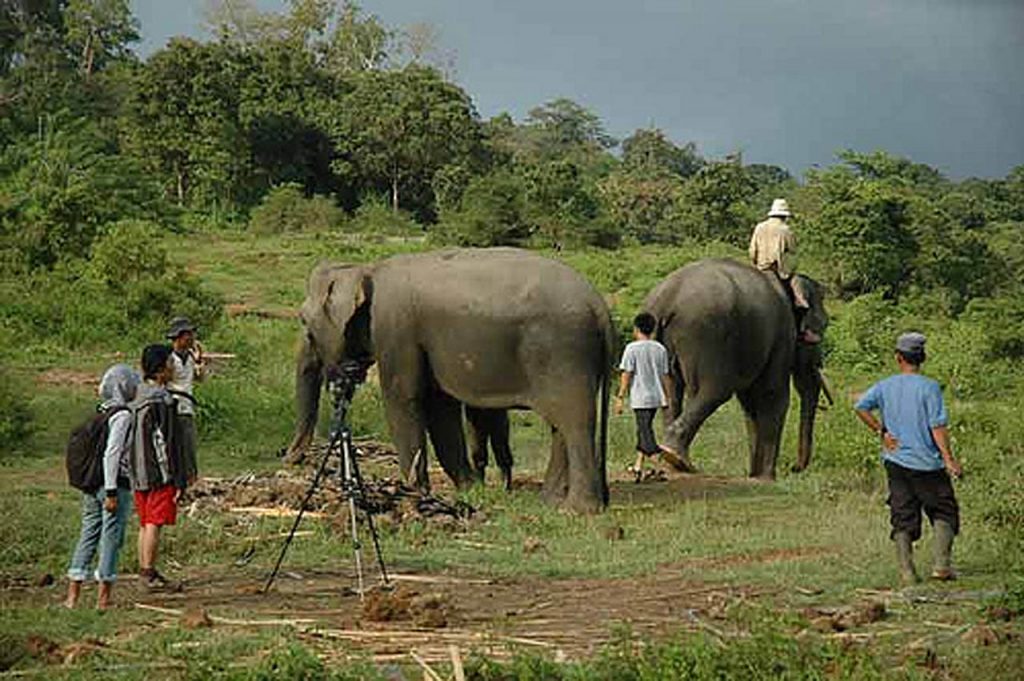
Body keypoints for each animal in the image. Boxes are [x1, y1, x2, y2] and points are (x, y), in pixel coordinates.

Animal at [284, 246, 610, 512]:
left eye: (304, 322)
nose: (289, 458)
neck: (366, 270)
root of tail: (599, 304)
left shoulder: (396, 329)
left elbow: (403, 398)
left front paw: (414, 491)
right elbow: (441, 409)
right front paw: (470, 490)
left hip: (564, 353)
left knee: (575, 420)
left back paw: (576, 510)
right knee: (560, 426)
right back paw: (549, 502)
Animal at [643, 258, 827, 475]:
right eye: (823, 325)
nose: (794, 468)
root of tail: (666, 299)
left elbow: (750, 403)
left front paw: (754, 474)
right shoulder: (782, 336)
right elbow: (772, 395)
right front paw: (766, 477)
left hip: (661, 340)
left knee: (670, 393)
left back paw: (672, 461)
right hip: (704, 335)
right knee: (713, 391)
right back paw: (678, 459)